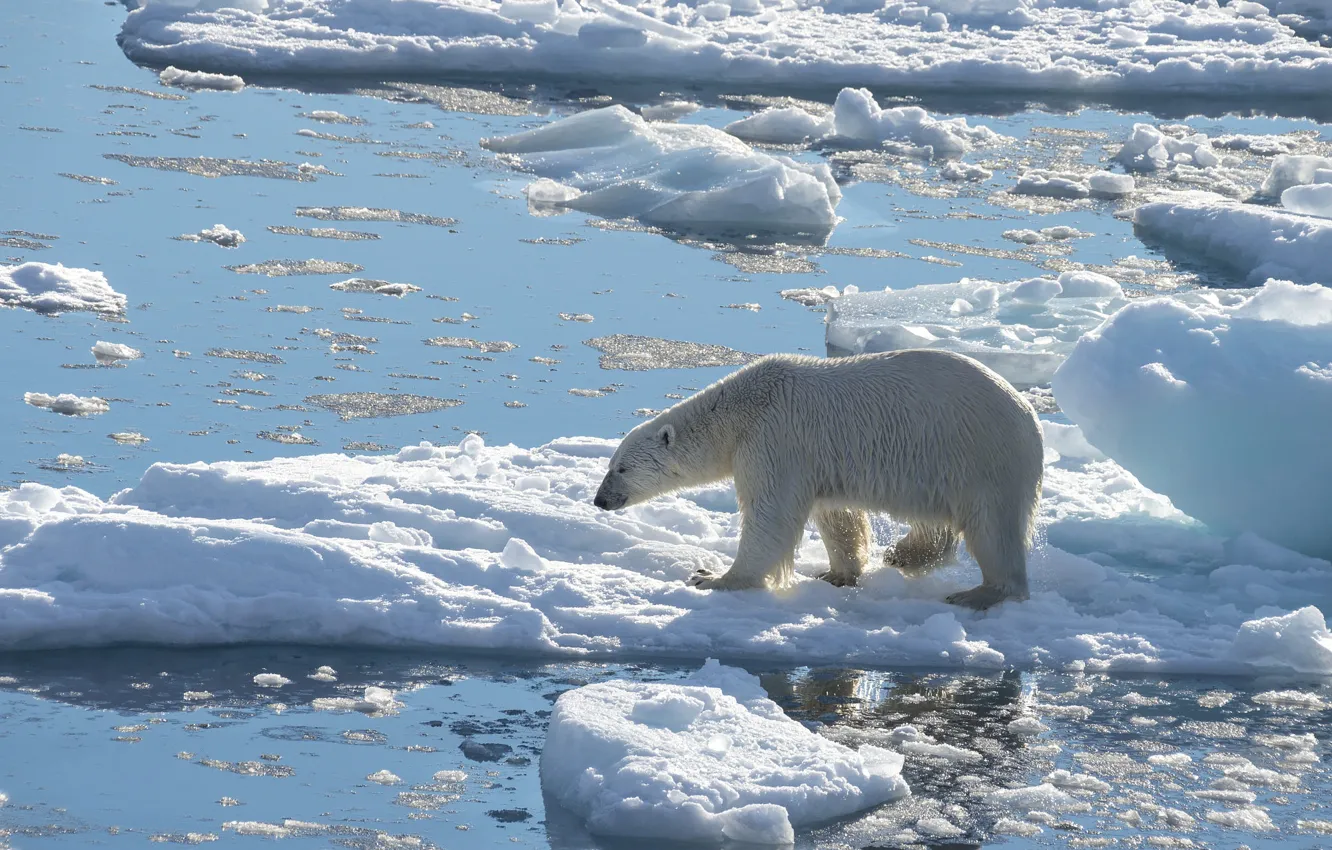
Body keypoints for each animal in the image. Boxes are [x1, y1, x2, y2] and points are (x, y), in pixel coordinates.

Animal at [591, 349, 1038, 610]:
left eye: (620, 469)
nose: (600, 500)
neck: (741, 410)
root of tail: (1029, 414)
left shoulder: (774, 438)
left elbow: (770, 514)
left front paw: (713, 578)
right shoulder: (816, 458)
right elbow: (836, 515)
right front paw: (836, 574)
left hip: (980, 458)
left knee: (992, 529)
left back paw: (977, 592)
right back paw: (905, 554)